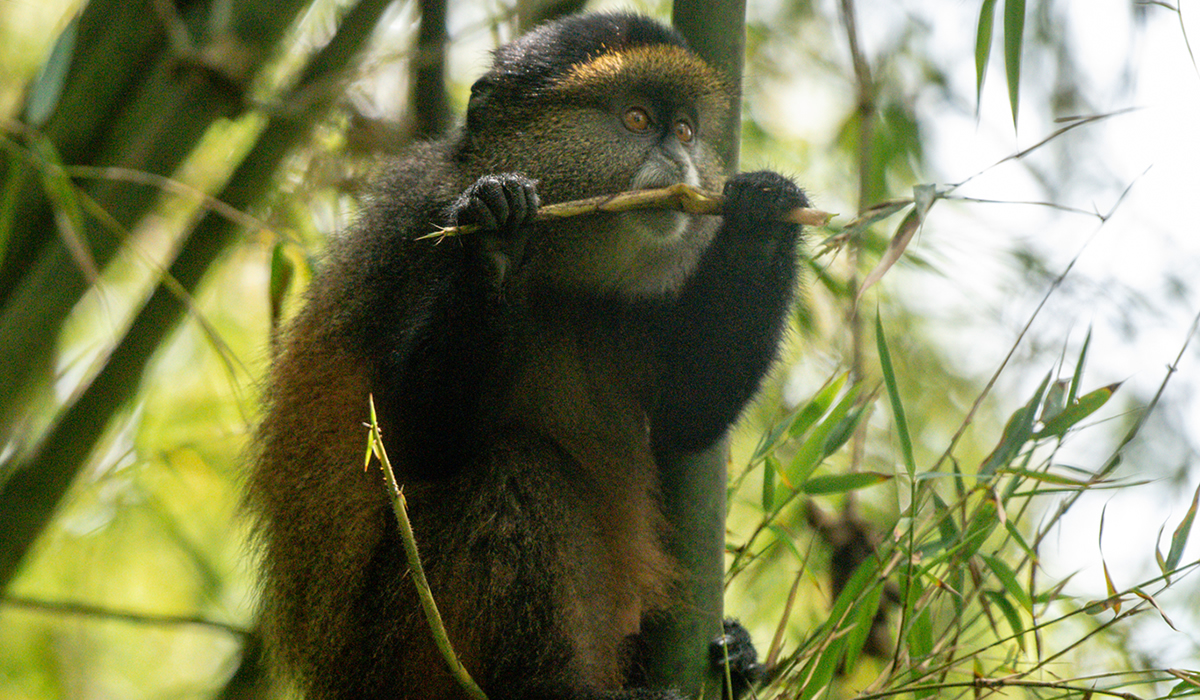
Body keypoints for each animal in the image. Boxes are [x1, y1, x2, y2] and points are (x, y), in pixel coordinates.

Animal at [247, 12, 808, 700]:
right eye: (636, 120)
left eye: (684, 130)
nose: (679, 159)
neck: (564, 273)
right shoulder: (418, 230)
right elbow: (413, 441)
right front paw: (496, 236)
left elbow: (689, 415)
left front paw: (762, 217)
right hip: (407, 646)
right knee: (514, 469)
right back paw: (553, 686)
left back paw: (734, 660)